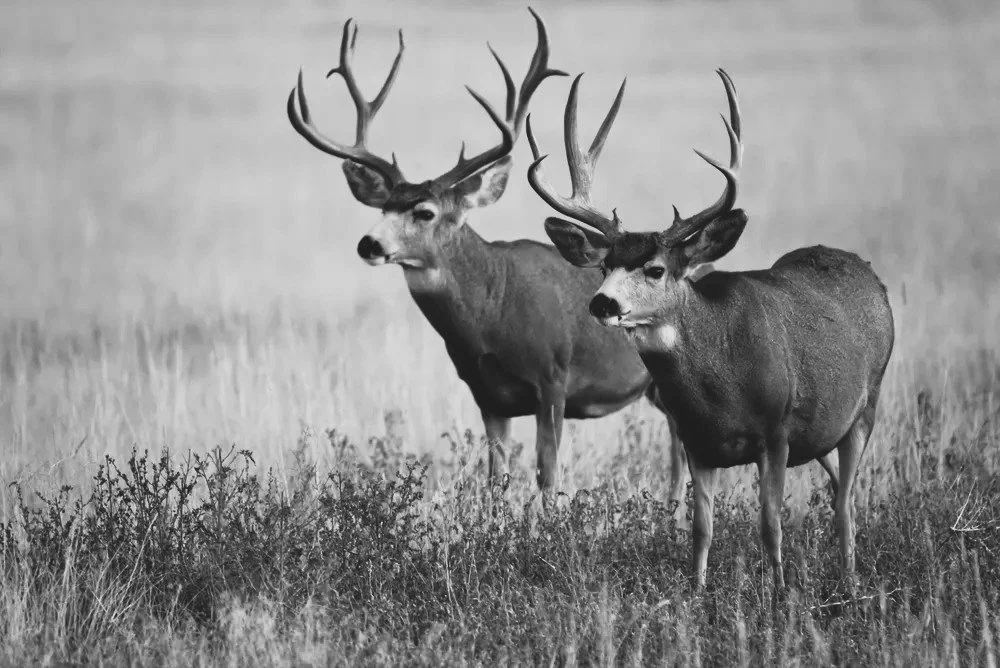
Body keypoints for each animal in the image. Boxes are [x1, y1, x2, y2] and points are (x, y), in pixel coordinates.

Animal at [286, 10, 688, 502]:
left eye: (425, 211)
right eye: (382, 208)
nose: (370, 244)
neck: (493, 313)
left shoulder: (553, 380)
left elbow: (547, 476)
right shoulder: (487, 395)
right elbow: (496, 481)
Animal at [525, 69, 894, 587]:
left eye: (656, 269)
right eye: (604, 267)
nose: (602, 302)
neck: (721, 384)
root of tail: (870, 276)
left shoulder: (776, 431)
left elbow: (770, 523)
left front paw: (778, 592)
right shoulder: (697, 440)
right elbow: (700, 528)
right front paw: (697, 592)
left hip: (866, 404)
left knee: (846, 505)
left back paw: (851, 582)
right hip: (825, 426)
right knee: (842, 489)